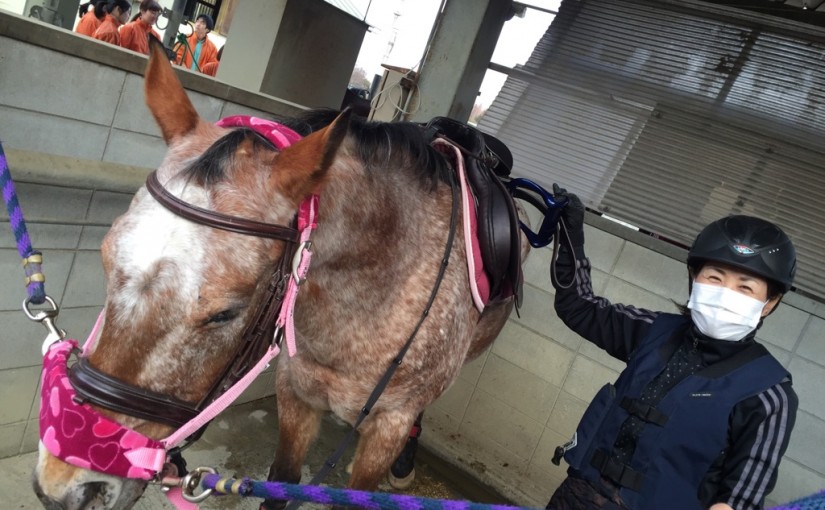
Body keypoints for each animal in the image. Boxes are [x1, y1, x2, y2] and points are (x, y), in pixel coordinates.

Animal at [32, 39, 530, 510]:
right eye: (106, 260)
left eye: (225, 313)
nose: (67, 487)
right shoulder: (296, 390)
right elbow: (281, 482)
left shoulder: (388, 424)